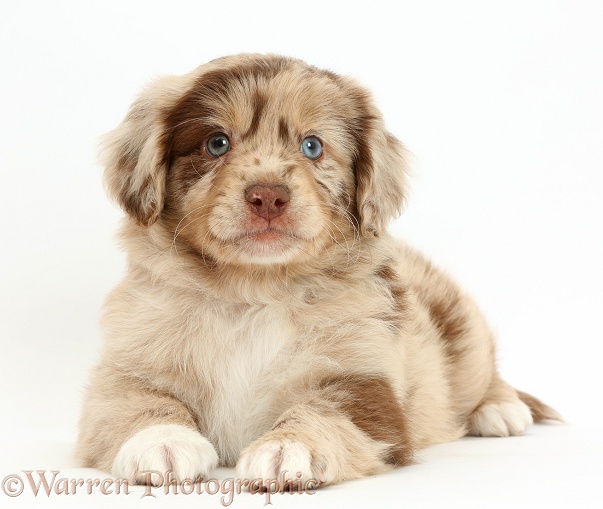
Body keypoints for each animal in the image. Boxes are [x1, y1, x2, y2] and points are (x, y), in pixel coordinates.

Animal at [76, 53, 560, 486]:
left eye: (312, 146)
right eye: (216, 143)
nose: (268, 196)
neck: (253, 292)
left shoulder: (363, 381)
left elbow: (325, 412)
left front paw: (290, 447)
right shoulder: (127, 366)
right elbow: (133, 403)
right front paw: (162, 441)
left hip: (462, 328)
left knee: (482, 371)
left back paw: (500, 408)